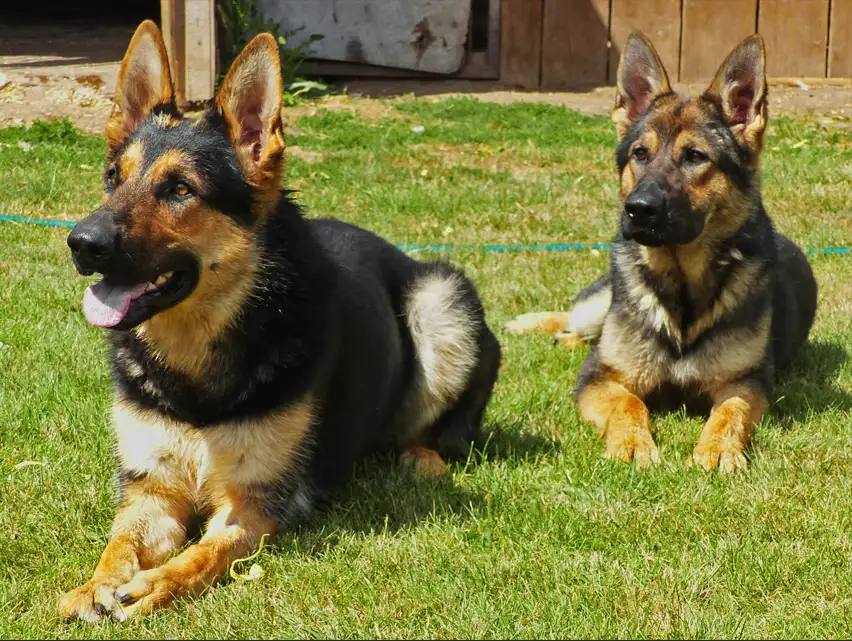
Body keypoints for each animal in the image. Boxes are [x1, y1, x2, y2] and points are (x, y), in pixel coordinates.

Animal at [58, 21, 500, 620]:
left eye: (180, 189)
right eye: (112, 178)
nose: (82, 243)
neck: (196, 370)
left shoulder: (252, 504)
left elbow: (203, 554)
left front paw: (156, 584)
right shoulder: (152, 492)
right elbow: (119, 542)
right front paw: (96, 583)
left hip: (442, 300)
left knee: (436, 428)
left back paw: (422, 457)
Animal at [506, 33, 820, 470]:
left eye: (695, 157)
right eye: (640, 154)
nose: (638, 209)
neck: (682, 288)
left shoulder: (745, 383)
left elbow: (730, 412)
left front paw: (718, 448)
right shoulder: (598, 378)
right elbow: (629, 403)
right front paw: (632, 442)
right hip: (601, 306)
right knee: (576, 318)